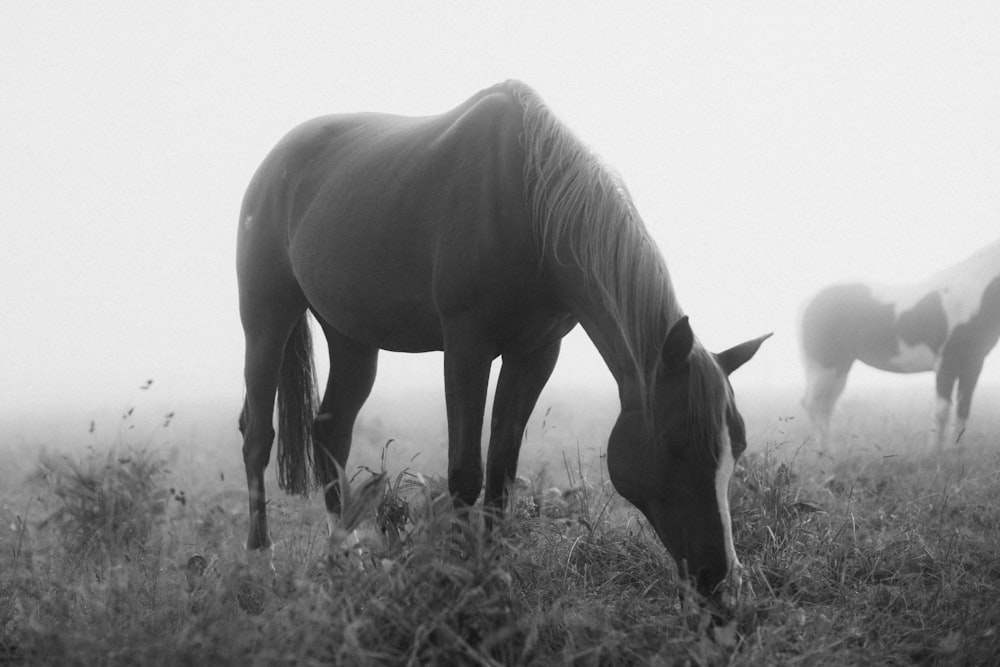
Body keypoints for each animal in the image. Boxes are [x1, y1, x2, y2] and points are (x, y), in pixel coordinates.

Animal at [238, 81, 768, 608]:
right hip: (266, 317)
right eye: (679, 445)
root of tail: (275, 162)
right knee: (257, 436)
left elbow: (501, 472)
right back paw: (261, 563)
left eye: (738, 447)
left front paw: (493, 577)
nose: (723, 581)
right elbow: (465, 473)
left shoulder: (535, 354)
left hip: (351, 337)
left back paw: (344, 559)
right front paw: (457, 578)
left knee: (332, 431)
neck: (530, 207)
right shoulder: (466, 346)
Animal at [800, 239, 1000, 448]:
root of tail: (809, 303)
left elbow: (963, 409)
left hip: (840, 366)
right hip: (824, 366)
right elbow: (942, 411)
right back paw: (825, 451)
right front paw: (935, 452)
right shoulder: (946, 363)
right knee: (813, 404)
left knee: (825, 405)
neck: (974, 294)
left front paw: (956, 451)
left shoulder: (973, 364)